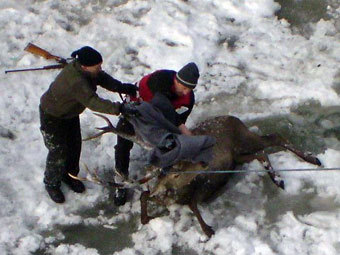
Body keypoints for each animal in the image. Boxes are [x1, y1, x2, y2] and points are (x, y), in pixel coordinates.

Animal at [80, 110, 322, 238]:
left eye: (184, 164)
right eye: (176, 172)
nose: (205, 163)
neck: (173, 193)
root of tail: (233, 117)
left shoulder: (203, 184)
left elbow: (193, 205)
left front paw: (208, 229)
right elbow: (145, 195)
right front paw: (145, 217)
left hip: (243, 140)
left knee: (274, 137)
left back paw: (309, 161)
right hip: (238, 155)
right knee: (263, 151)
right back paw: (280, 178)